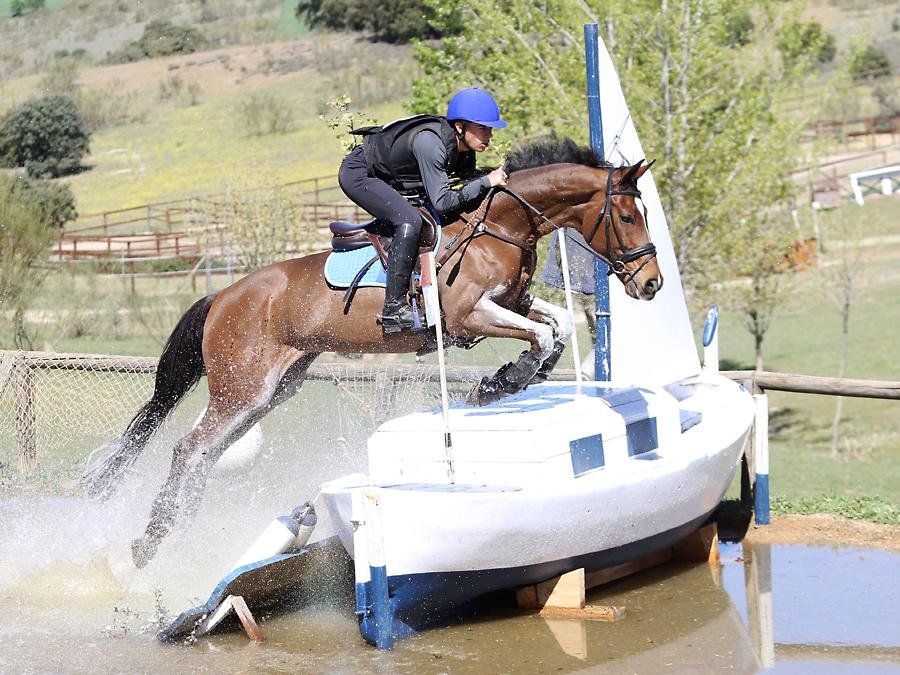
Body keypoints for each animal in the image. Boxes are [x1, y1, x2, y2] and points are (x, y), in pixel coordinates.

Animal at [80, 138, 662, 568]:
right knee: (189, 448)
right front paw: (500, 382)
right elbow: (539, 337)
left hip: (273, 390)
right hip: (243, 388)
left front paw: (512, 377)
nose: (652, 284)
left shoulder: (510, 303)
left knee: (205, 452)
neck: (502, 224)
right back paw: (152, 540)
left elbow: (556, 325)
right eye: (628, 217)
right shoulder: (468, 316)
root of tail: (222, 296)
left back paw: (174, 532)